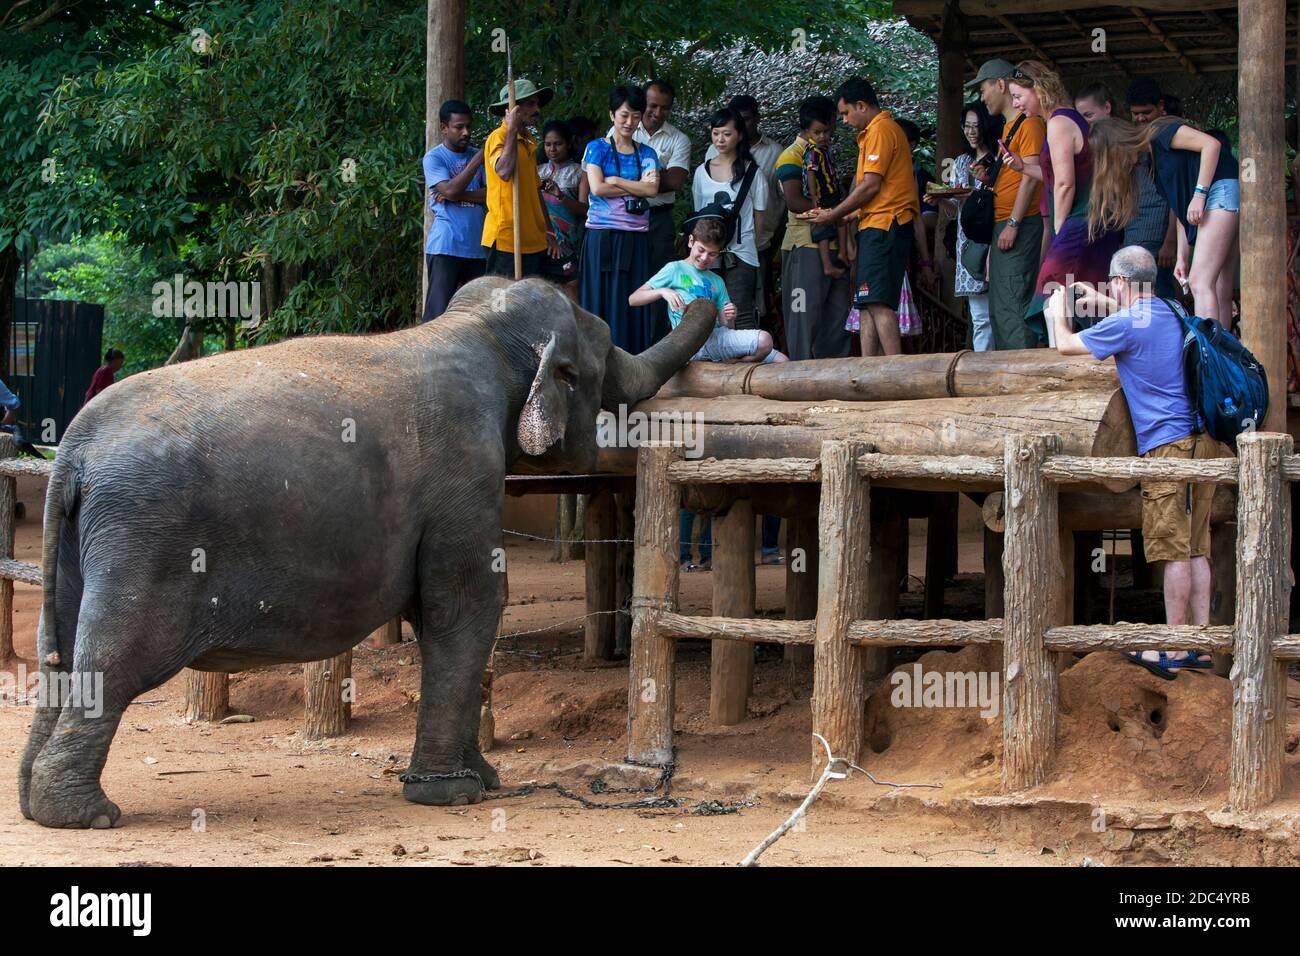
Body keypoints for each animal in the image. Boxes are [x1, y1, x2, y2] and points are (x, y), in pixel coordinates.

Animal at [17, 273, 712, 827]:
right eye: (601, 362)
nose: (705, 294)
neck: (477, 331)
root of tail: (72, 450)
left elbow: (446, 614)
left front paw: (484, 782)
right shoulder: (466, 470)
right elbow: (468, 606)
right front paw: (454, 796)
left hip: (81, 546)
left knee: (61, 652)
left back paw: (32, 804)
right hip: (143, 540)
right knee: (113, 660)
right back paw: (84, 816)